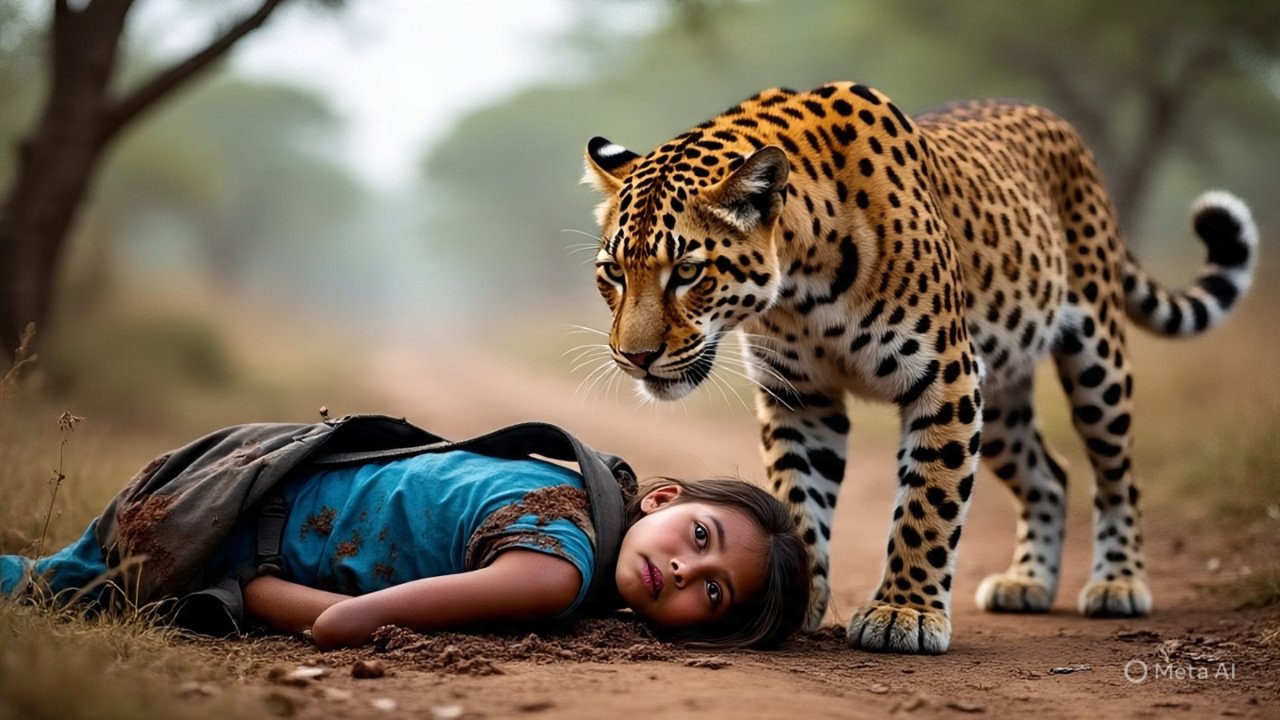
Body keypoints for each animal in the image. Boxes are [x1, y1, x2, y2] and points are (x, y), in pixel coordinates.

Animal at [580, 82, 1257, 654]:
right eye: (613, 273)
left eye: (687, 272)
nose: (634, 356)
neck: (800, 289)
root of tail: (1055, 121)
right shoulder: (801, 396)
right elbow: (800, 498)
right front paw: (798, 592)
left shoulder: (946, 376)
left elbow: (928, 503)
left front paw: (903, 613)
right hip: (1000, 391)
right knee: (1050, 474)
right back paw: (1027, 582)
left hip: (1094, 358)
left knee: (1116, 474)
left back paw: (1118, 583)